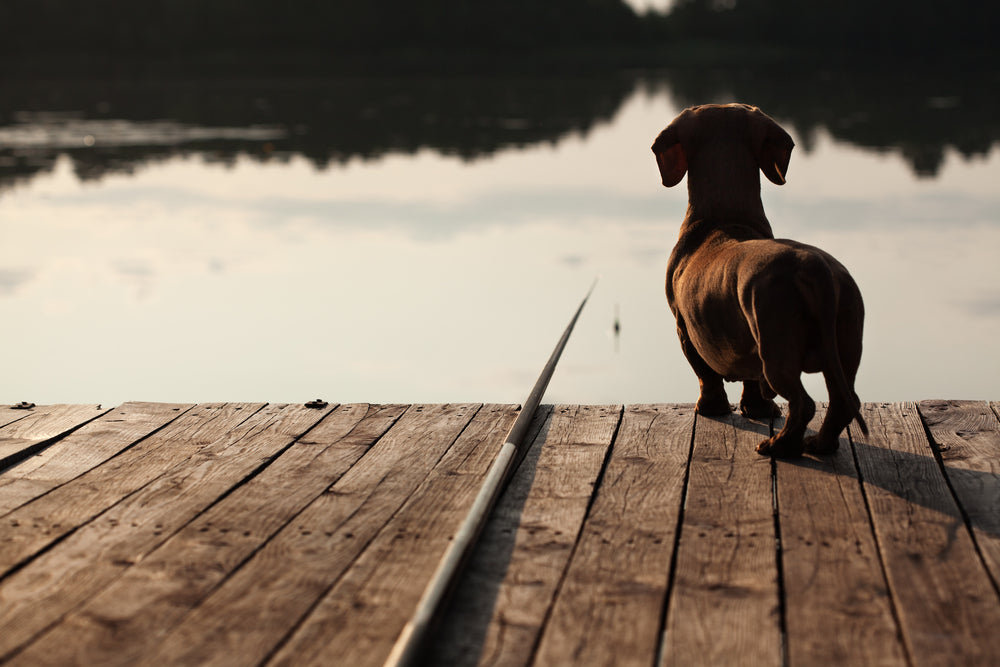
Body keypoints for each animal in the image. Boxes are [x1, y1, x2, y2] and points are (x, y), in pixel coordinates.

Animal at [656, 103, 868, 460]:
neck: (723, 219)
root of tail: (812, 267)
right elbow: (752, 382)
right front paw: (758, 409)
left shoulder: (684, 329)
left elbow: (706, 376)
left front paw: (711, 408)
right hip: (846, 343)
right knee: (843, 400)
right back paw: (820, 444)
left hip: (777, 352)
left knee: (804, 404)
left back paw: (778, 445)